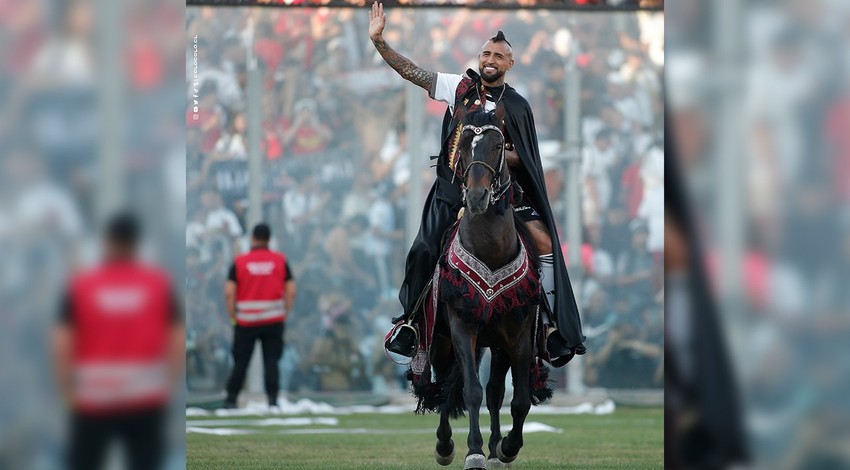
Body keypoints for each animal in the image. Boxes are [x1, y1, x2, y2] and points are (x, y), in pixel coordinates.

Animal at [418, 107, 548, 470]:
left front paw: (507, 448)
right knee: (448, 385)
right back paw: (446, 445)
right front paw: (472, 451)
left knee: (494, 393)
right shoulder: (462, 327)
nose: (477, 197)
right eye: (462, 146)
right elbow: (470, 391)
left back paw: (495, 450)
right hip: (444, 340)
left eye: (498, 145)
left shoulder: (518, 336)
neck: (490, 249)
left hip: (497, 344)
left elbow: (518, 400)